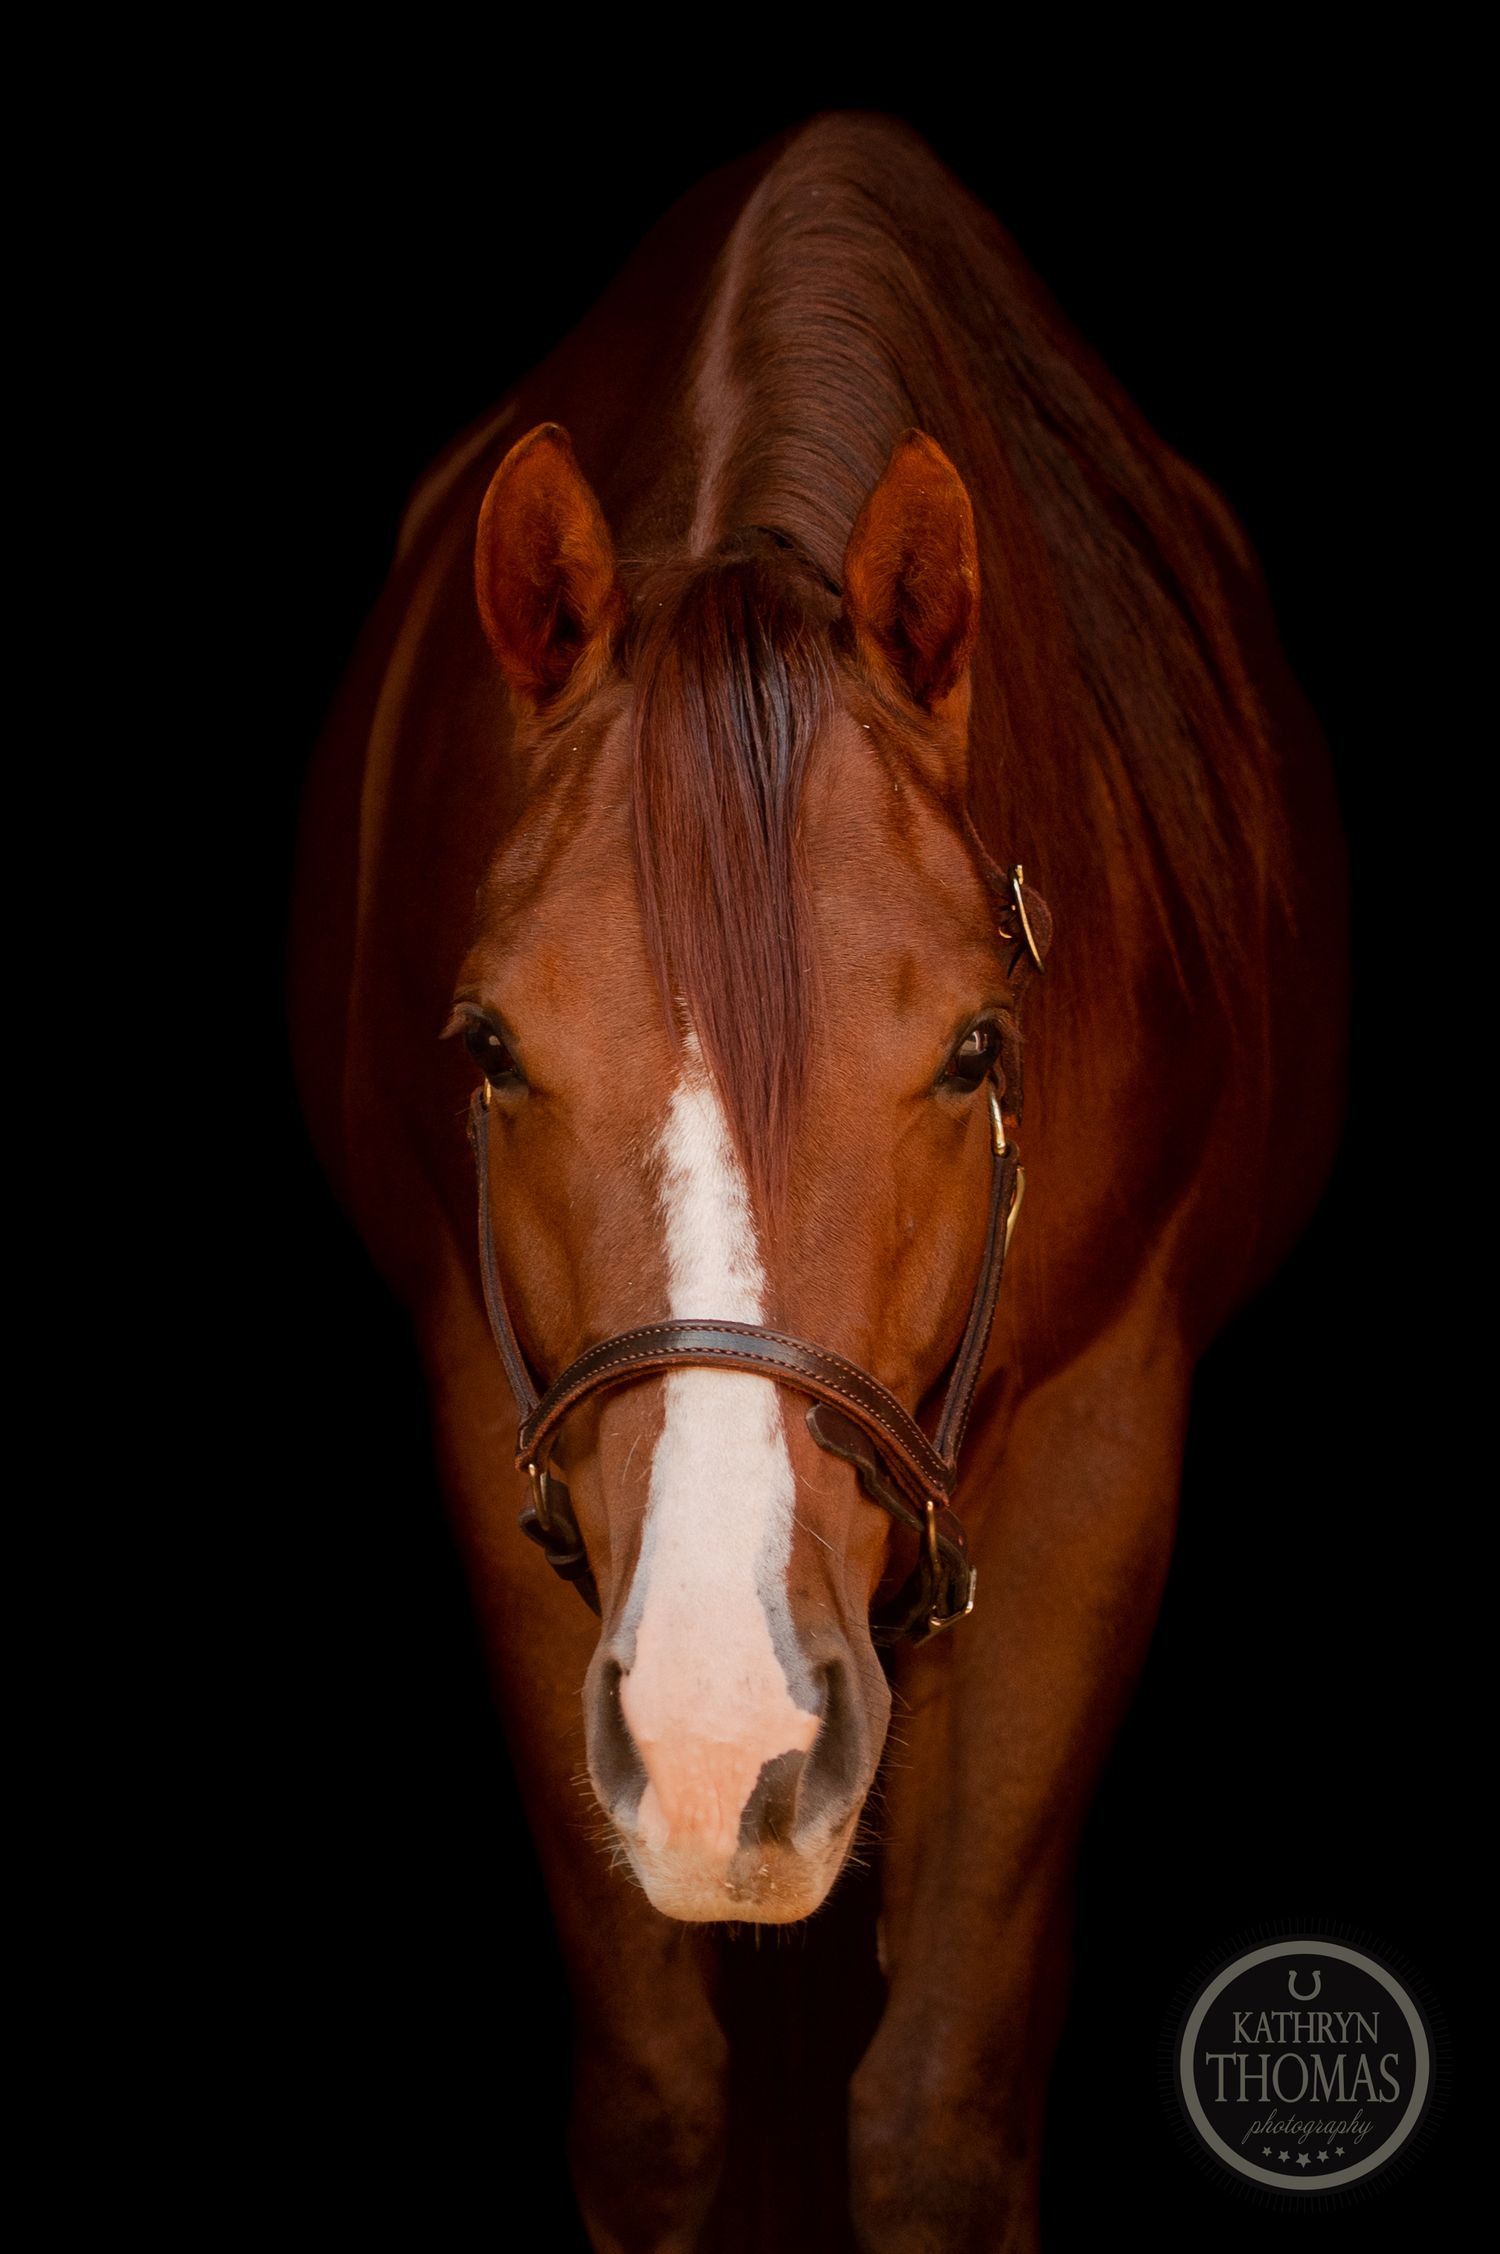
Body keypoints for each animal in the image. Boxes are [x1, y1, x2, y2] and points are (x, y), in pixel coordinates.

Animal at [290, 111, 1345, 2250]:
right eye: (490, 1045)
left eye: (976, 1049)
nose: (730, 1734)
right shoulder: (499, 1444)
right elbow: (657, 2100)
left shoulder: (1099, 1456)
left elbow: (937, 2108)